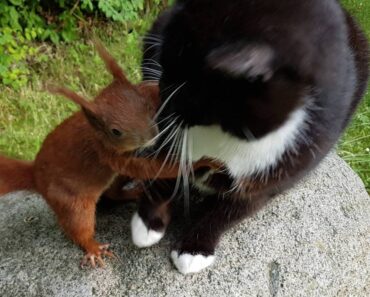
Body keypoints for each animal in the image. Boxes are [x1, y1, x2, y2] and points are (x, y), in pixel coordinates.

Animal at [134, 0, 370, 274]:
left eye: (183, 83)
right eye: (165, 64)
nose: (161, 91)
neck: (225, 133)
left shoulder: (277, 172)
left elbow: (227, 212)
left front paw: (194, 249)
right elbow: (163, 167)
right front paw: (147, 223)